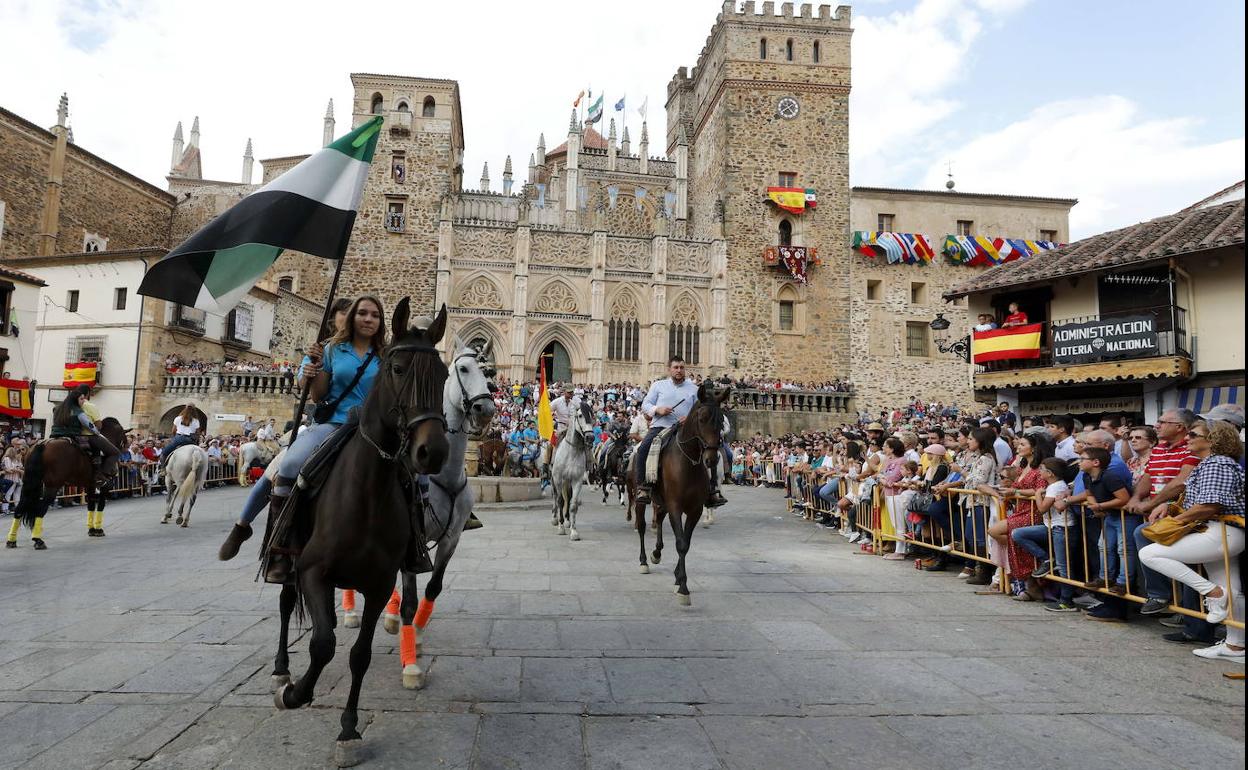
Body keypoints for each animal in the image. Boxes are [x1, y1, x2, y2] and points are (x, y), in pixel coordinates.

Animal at [270, 298, 451, 763]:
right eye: (397, 368)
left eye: (444, 374)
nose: (432, 452)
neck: (366, 494)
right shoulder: (312, 571)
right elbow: (322, 644)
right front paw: (295, 693)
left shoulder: (379, 582)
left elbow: (359, 654)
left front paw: (348, 729)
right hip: (289, 561)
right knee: (286, 604)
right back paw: (281, 672)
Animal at [554, 401, 596, 541]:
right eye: (580, 415)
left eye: (592, 416)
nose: (590, 437)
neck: (571, 452)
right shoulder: (558, 479)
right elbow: (560, 501)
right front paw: (561, 527)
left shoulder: (577, 480)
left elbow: (573, 504)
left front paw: (574, 531)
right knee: (556, 498)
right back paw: (555, 519)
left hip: (568, 482)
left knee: (568, 497)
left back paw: (567, 521)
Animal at [628, 381, 728, 604]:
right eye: (702, 418)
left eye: (722, 421)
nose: (711, 459)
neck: (688, 461)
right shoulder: (675, 505)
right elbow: (681, 543)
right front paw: (683, 587)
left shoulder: (694, 509)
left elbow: (686, 543)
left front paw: (677, 578)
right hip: (641, 496)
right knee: (641, 525)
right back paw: (643, 561)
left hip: (662, 501)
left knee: (659, 519)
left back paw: (656, 553)